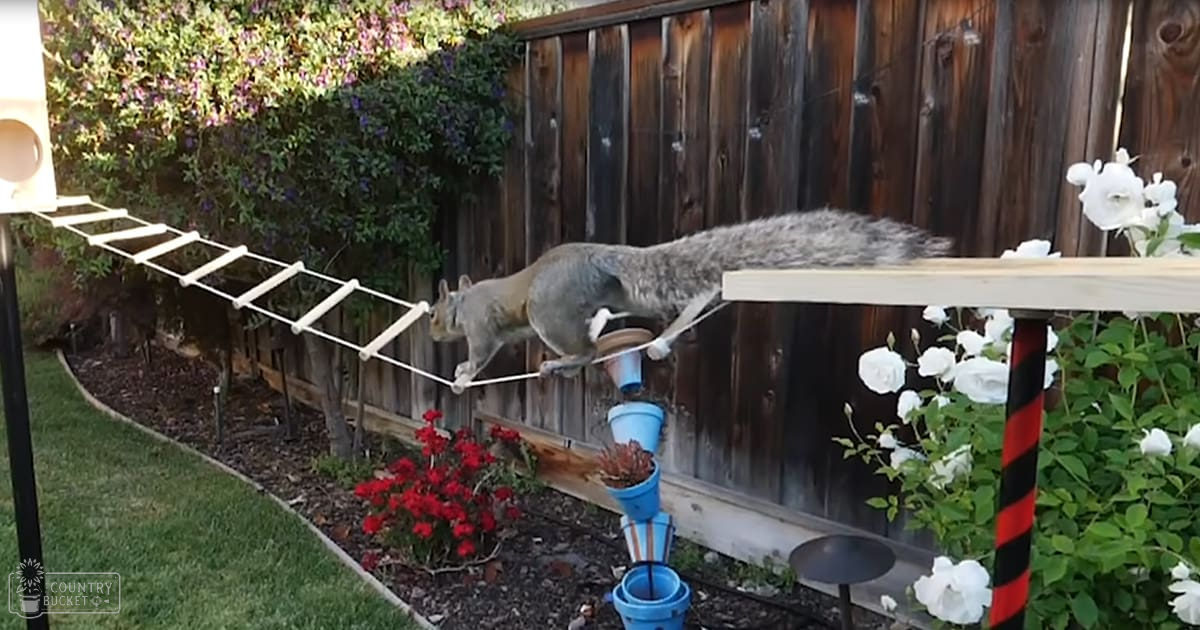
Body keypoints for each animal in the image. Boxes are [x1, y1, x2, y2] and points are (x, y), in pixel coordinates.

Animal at [429, 207, 953, 393]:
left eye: (435, 314)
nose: (433, 334)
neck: (464, 299)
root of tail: (605, 256)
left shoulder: (480, 326)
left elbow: (480, 352)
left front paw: (461, 374)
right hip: (621, 297)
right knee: (612, 328)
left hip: (547, 312)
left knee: (584, 351)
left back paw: (564, 362)